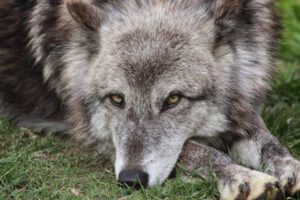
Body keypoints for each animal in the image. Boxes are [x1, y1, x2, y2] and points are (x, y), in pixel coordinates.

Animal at [0, 0, 298, 198]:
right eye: (116, 99)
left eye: (173, 99)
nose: (131, 180)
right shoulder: (98, 136)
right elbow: (197, 151)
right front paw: (242, 176)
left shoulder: (245, 103)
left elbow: (268, 142)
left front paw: (291, 167)